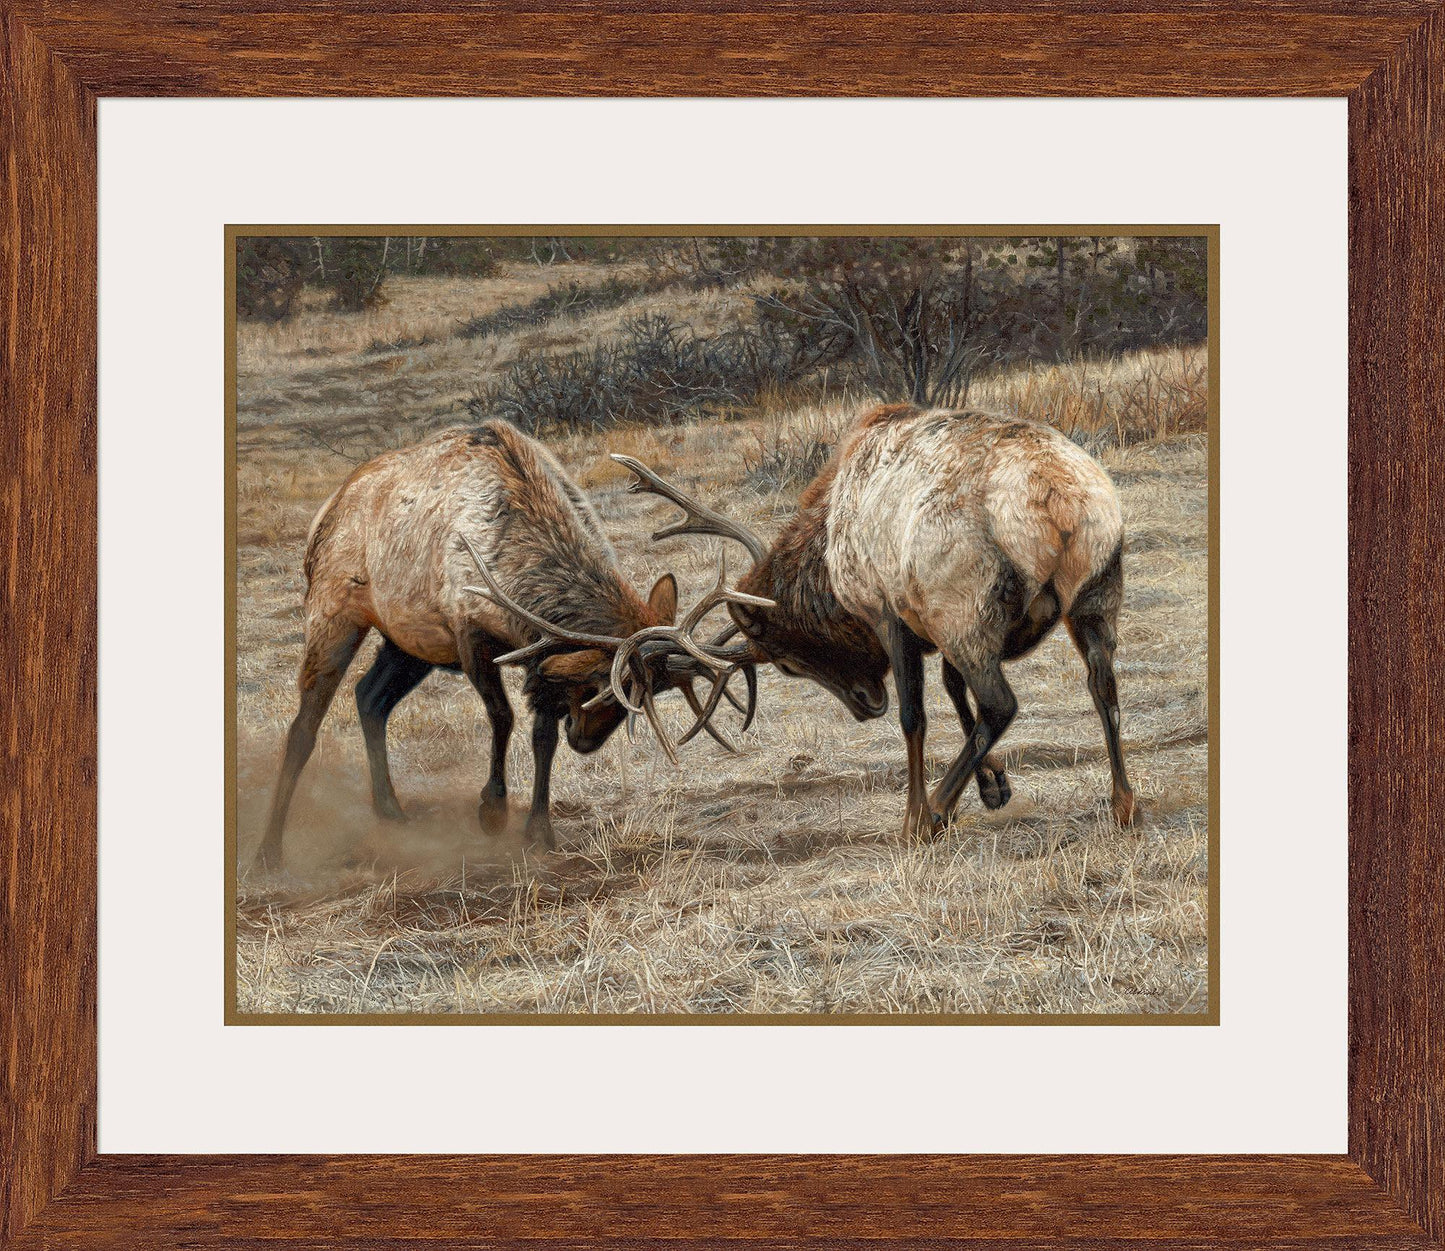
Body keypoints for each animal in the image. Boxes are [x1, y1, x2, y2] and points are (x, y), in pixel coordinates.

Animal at [254, 419, 771, 871]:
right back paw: (269, 851)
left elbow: (542, 737)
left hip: (409, 644)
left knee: (369, 697)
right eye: (602, 685)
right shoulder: (469, 633)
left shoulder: (536, 654)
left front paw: (539, 830)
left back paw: (391, 812)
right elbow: (502, 716)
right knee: (304, 725)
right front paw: (492, 811)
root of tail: (325, 512)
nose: (586, 741)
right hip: (333, 609)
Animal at [613, 401, 1137, 840]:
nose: (866, 704)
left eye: (785, 663)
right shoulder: (929, 623)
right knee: (1102, 684)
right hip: (1095, 593)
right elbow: (952, 690)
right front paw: (994, 786)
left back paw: (934, 812)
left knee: (1000, 703)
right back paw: (1123, 802)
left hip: (966, 605)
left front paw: (917, 814)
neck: (827, 556)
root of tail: (1059, 501)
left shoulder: (892, 614)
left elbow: (915, 717)